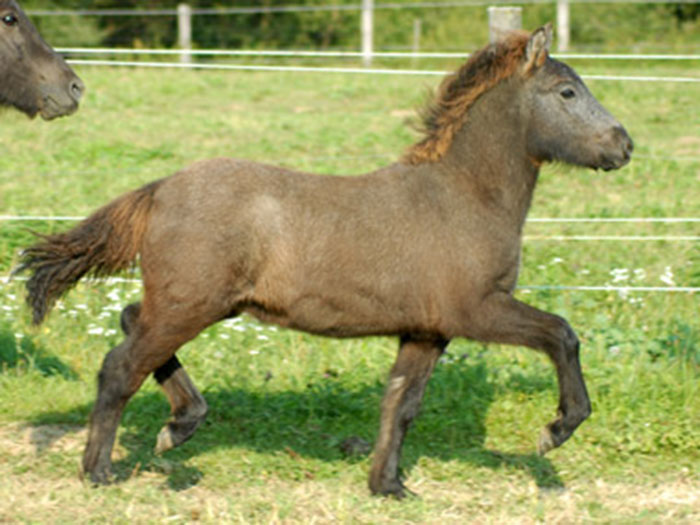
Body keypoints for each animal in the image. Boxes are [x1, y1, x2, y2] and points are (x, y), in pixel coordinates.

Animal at [17, 25, 633, 497]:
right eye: (566, 92)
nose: (623, 146)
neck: (463, 196)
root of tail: (160, 188)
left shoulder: (427, 330)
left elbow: (400, 404)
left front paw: (388, 486)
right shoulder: (476, 310)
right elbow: (561, 333)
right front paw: (557, 430)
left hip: (194, 302)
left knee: (130, 324)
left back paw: (180, 425)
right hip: (191, 303)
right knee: (121, 366)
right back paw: (102, 468)